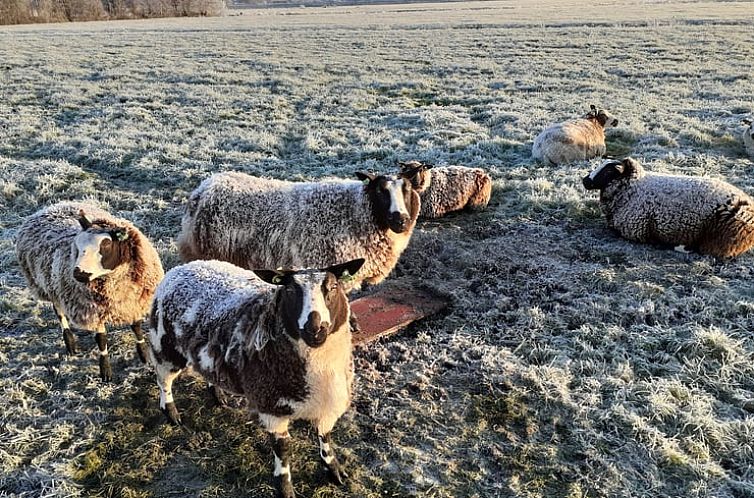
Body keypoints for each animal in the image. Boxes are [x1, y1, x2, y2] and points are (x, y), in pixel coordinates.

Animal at [15, 200, 164, 380]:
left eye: (106, 244)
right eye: (77, 246)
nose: (78, 273)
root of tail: (51, 207)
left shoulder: (134, 302)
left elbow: (136, 327)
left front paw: (144, 355)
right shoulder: (93, 309)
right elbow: (101, 339)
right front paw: (105, 370)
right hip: (49, 287)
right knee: (59, 313)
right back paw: (70, 343)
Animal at [147, 256, 364, 498]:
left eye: (333, 287)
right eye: (289, 290)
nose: (315, 328)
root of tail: (181, 268)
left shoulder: (327, 404)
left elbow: (325, 437)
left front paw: (334, 469)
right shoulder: (271, 406)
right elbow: (283, 450)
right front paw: (285, 486)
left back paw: (218, 394)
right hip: (165, 346)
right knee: (163, 380)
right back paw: (171, 412)